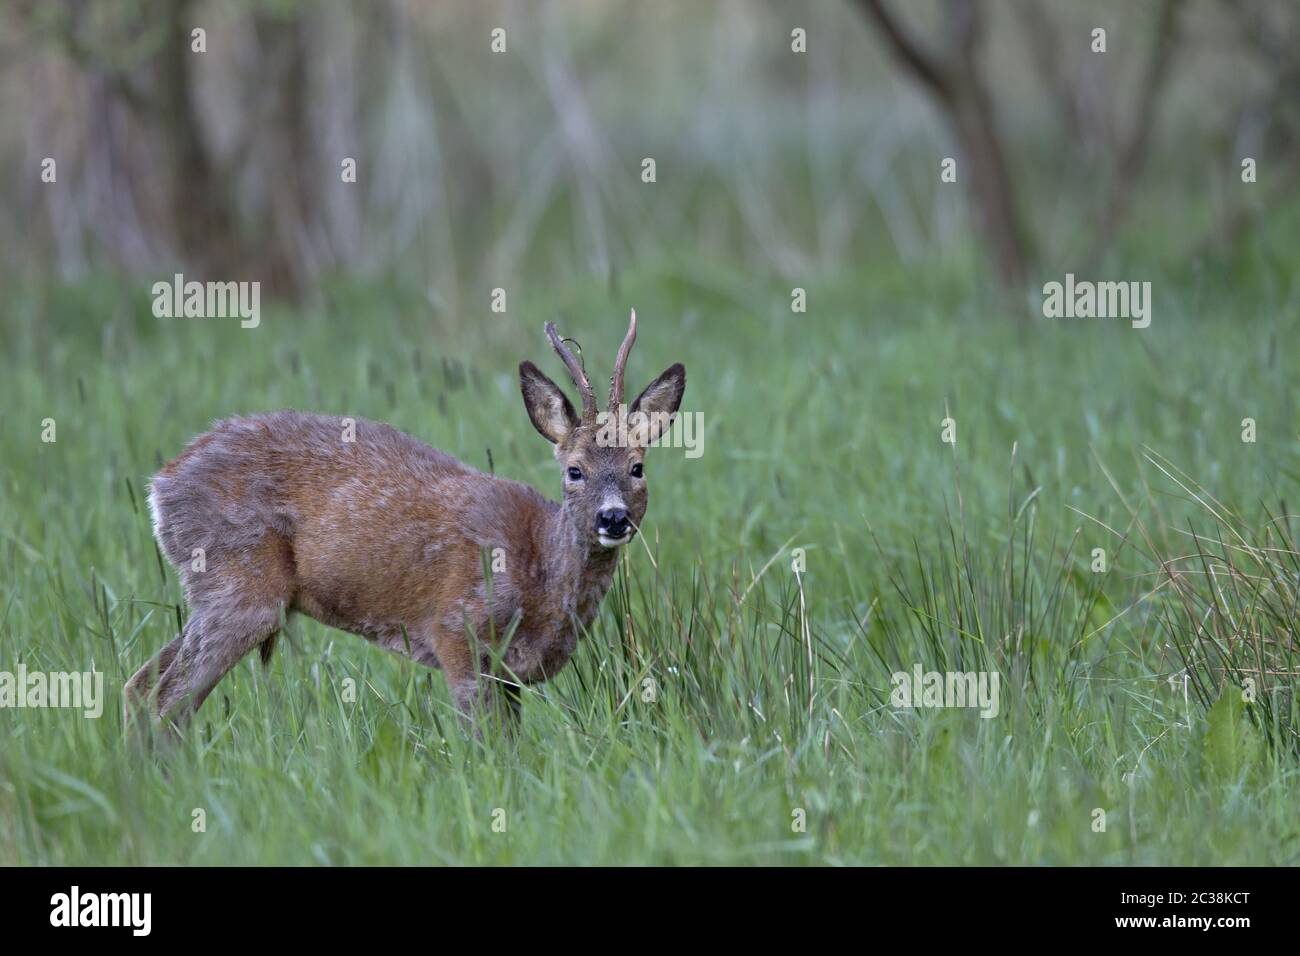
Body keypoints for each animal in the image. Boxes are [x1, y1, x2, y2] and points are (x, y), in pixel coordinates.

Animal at [125, 314, 686, 733]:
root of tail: (160, 485)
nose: (612, 517)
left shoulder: (509, 675)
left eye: (637, 467)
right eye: (574, 470)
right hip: (240, 586)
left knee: (141, 685)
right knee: (165, 697)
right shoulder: (456, 630)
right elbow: (483, 743)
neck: (541, 574)